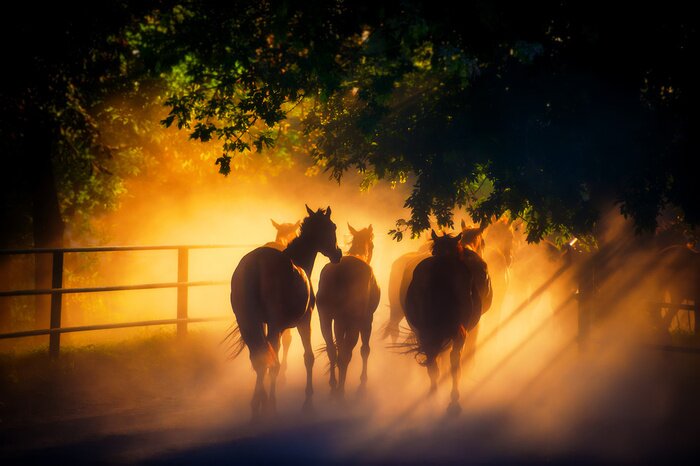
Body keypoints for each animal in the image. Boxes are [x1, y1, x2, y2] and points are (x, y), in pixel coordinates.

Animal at [230, 205, 342, 418]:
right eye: (333, 226)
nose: (337, 254)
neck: (298, 261)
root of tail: (256, 264)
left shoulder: (265, 324)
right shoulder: (304, 320)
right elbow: (308, 357)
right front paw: (308, 402)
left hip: (247, 323)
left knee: (258, 359)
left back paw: (257, 405)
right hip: (274, 326)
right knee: (270, 362)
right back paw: (269, 405)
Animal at [317, 224, 381, 399]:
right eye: (373, 245)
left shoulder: (338, 321)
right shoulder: (367, 319)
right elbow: (365, 350)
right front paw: (363, 381)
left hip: (325, 317)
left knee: (332, 350)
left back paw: (333, 385)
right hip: (354, 321)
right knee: (346, 355)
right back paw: (341, 392)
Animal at [404, 230, 485, 415]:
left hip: (425, 333)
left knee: (433, 364)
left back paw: (433, 398)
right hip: (456, 334)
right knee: (453, 362)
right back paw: (452, 401)